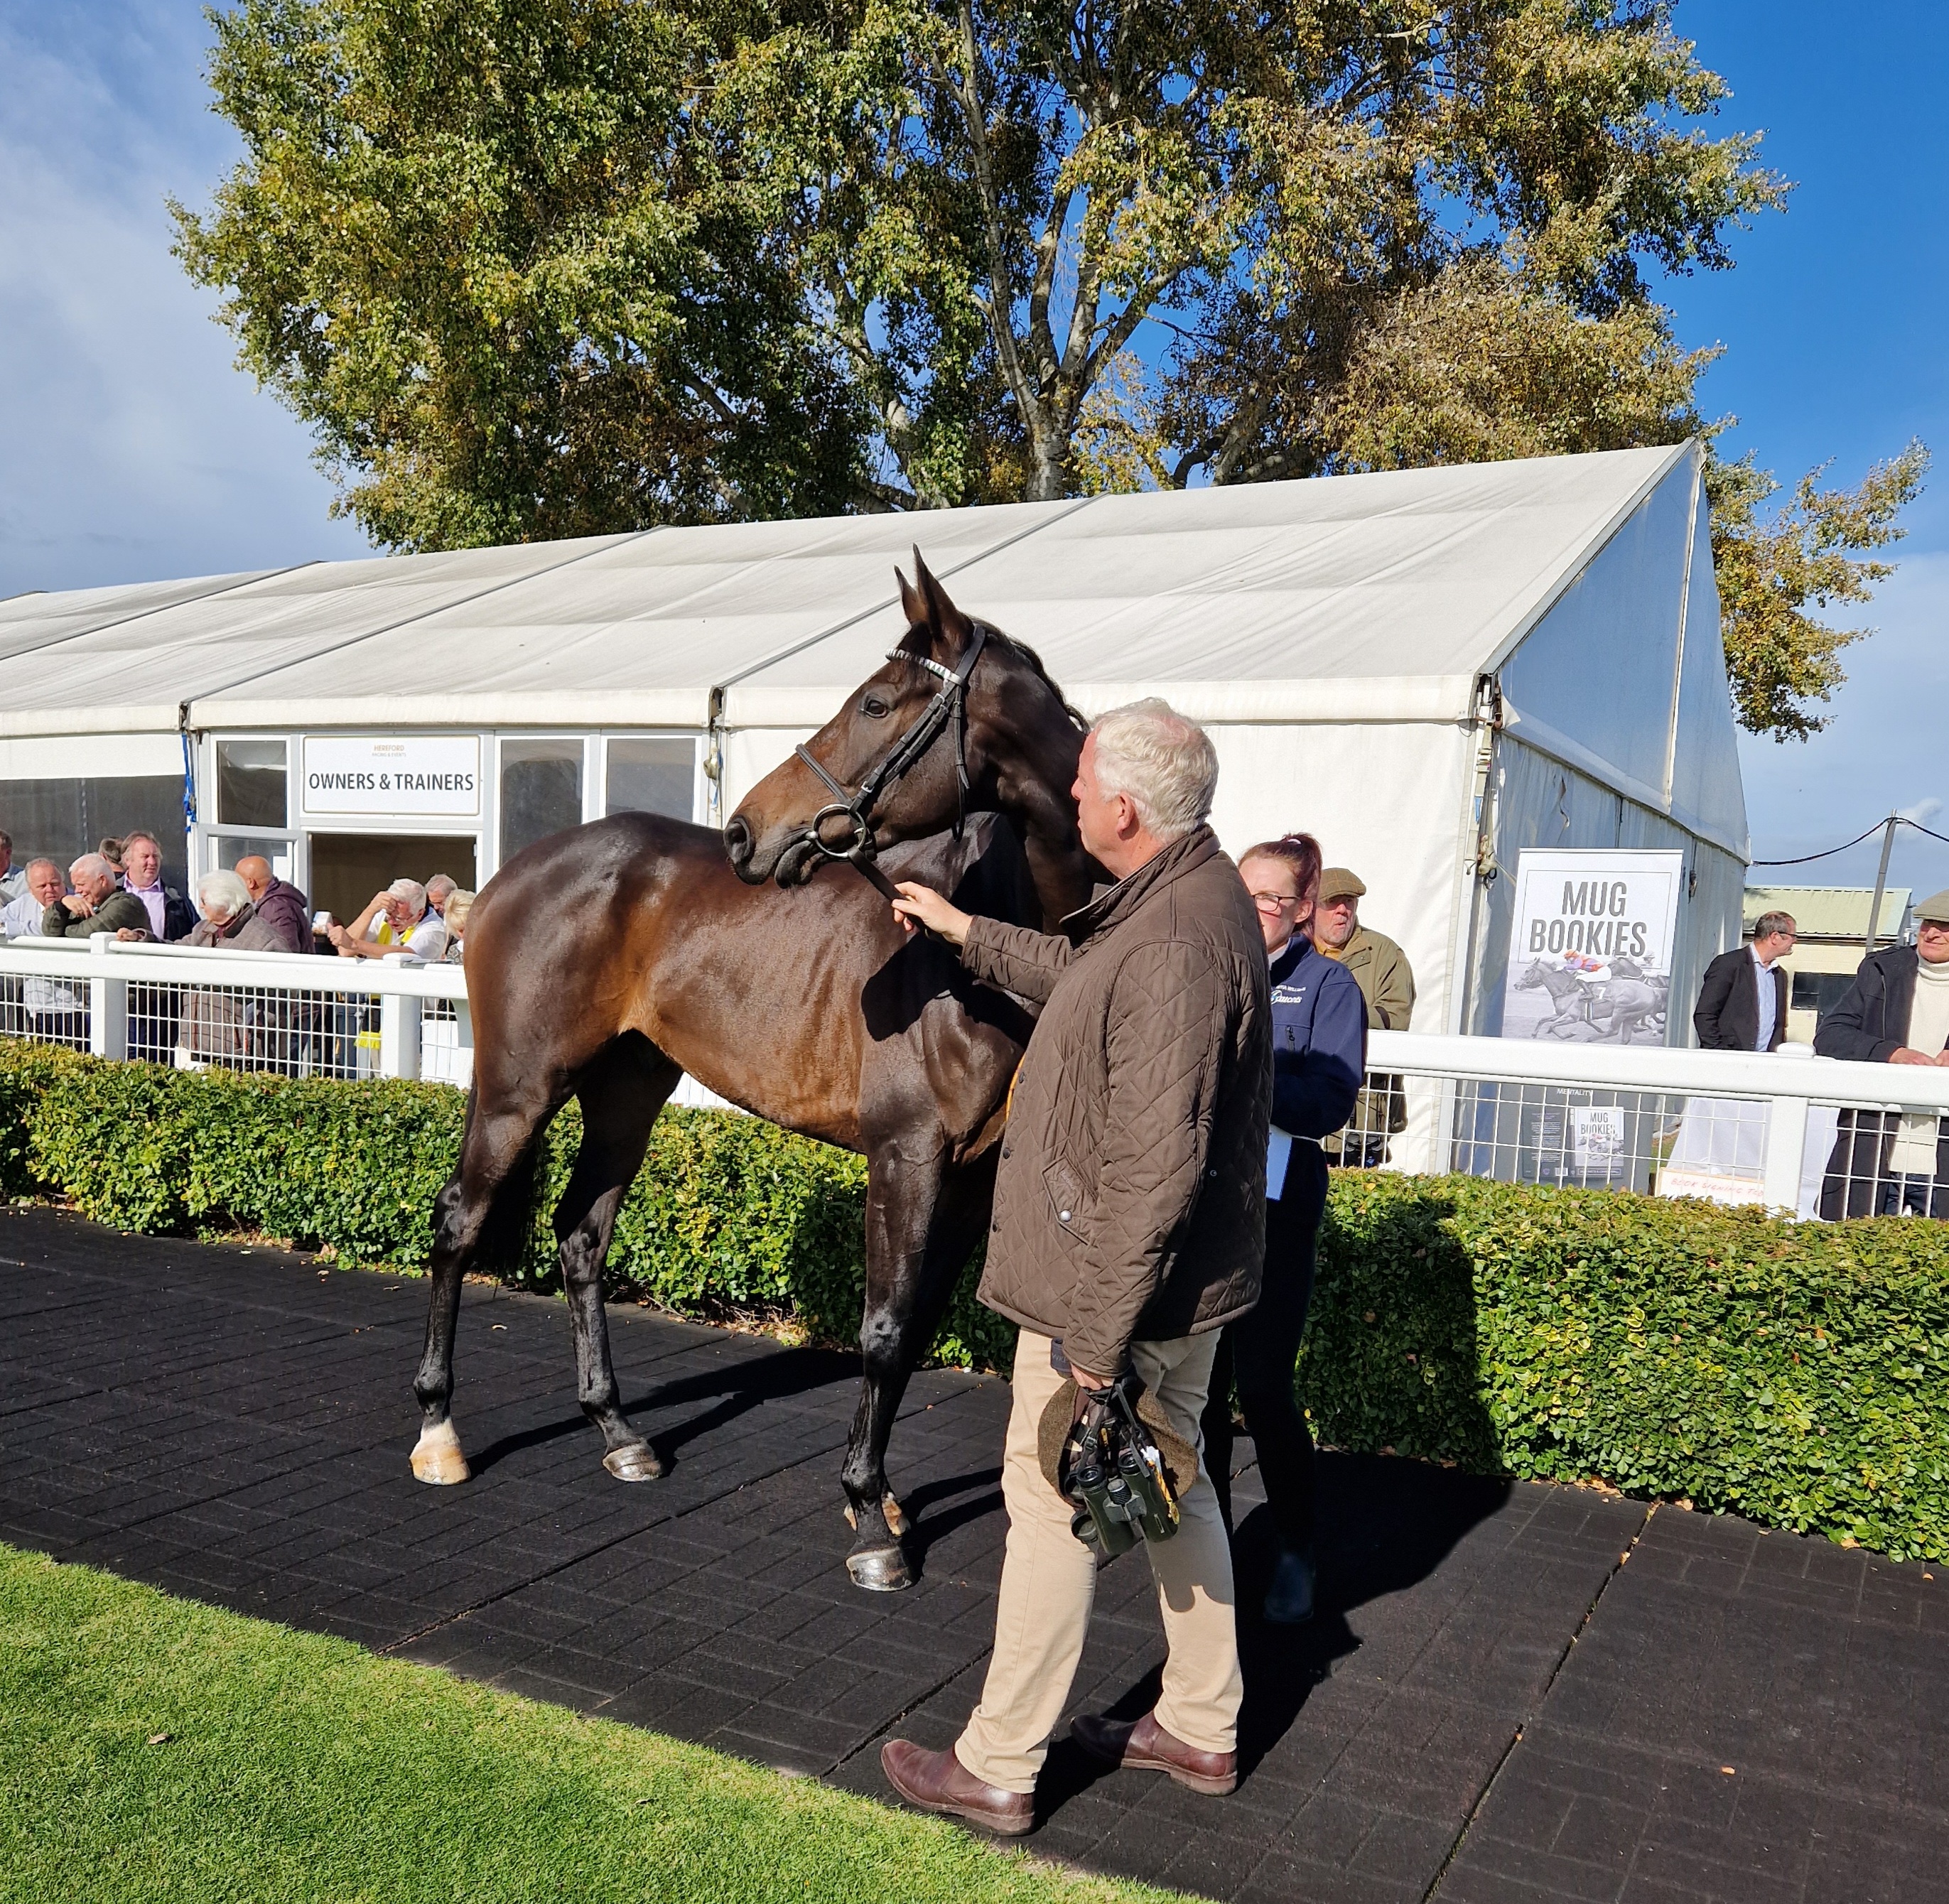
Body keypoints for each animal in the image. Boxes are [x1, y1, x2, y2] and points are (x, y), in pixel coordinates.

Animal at [409, 553, 1099, 1590]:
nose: (744, 833)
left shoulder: (972, 1175)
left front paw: (877, 1496)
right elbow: (883, 1328)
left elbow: (913, 1326)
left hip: (629, 1089)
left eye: (876, 702)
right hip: (517, 1089)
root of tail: (503, 879)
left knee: (581, 1234)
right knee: (460, 1220)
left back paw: (618, 1433)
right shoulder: (905, 1156)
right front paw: (870, 1523)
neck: (989, 944)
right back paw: (440, 1431)